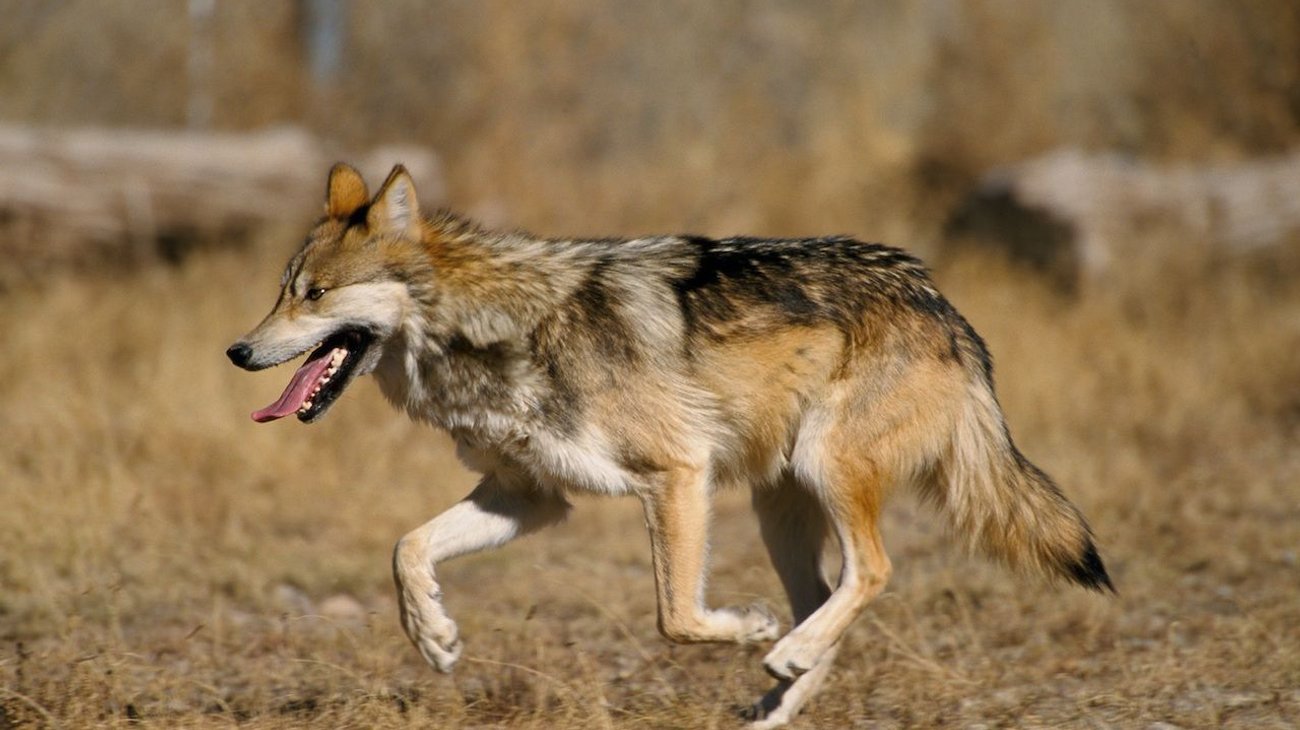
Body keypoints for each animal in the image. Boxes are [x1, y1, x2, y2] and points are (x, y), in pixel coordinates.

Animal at [227, 163, 1112, 727]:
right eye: (280, 292)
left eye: (315, 295)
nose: (237, 351)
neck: (493, 329)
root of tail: (941, 303)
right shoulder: (529, 498)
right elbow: (406, 549)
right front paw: (435, 638)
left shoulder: (677, 474)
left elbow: (677, 617)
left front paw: (746, 628)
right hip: (779, 508)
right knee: (829, 600)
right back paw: (780, 691)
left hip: (822, 471)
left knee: (872, 573)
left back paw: (780, 651)